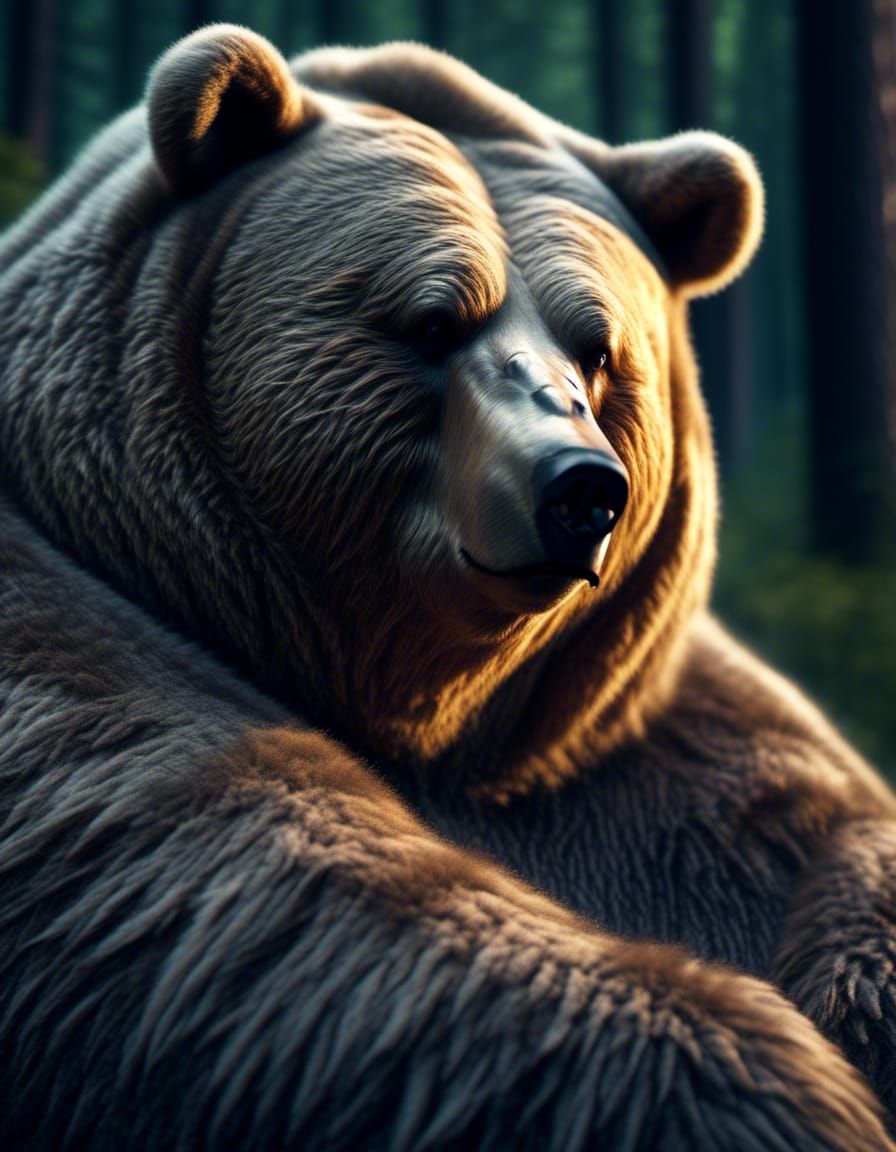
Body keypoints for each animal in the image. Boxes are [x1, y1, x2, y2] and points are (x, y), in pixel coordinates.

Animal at [1, 22, 896, 1150]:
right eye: (430, 321)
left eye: (599, 351)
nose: (579, 487)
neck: (428, 709)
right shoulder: (77, 697)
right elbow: (274, 888)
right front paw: (763, 1082)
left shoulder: (636, 745)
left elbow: (827, 831)